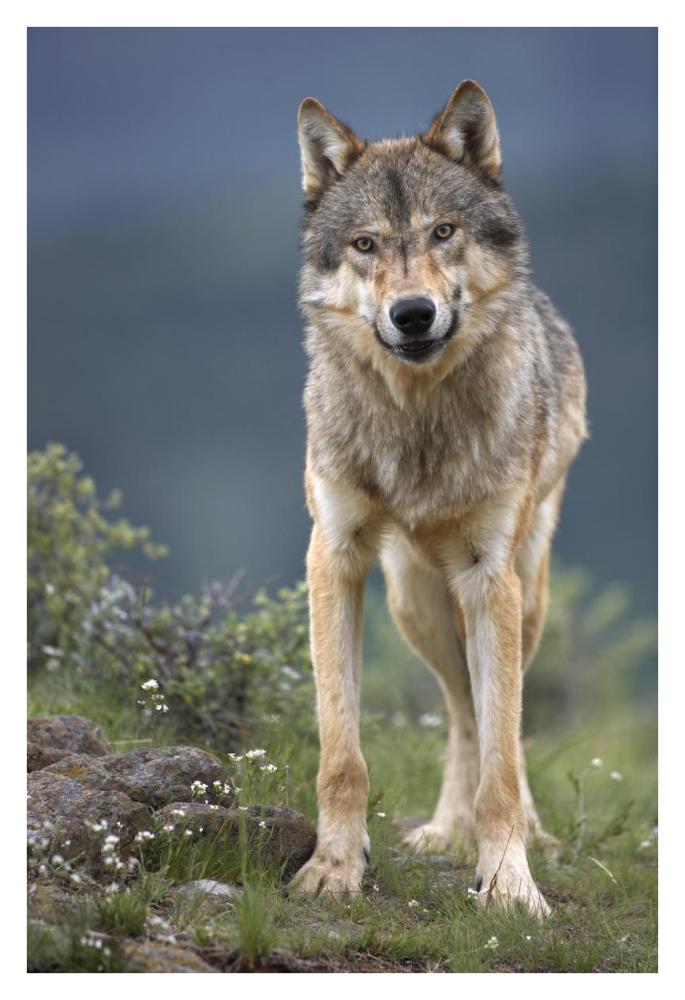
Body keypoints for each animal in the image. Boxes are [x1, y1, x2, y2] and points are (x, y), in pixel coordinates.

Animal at [290, 80, 587, 917]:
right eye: (365, 244)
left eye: (442, 232)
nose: (412, 313)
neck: (417, 425)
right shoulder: (334, 558)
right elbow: (342, 754)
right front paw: (333, 869)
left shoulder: (489, 578)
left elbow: (502, 757)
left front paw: (510, 881)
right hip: (412, 601)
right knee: (459, 711)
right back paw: (445, 833)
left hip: (520, 595)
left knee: (492, 725)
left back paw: (520, 836)